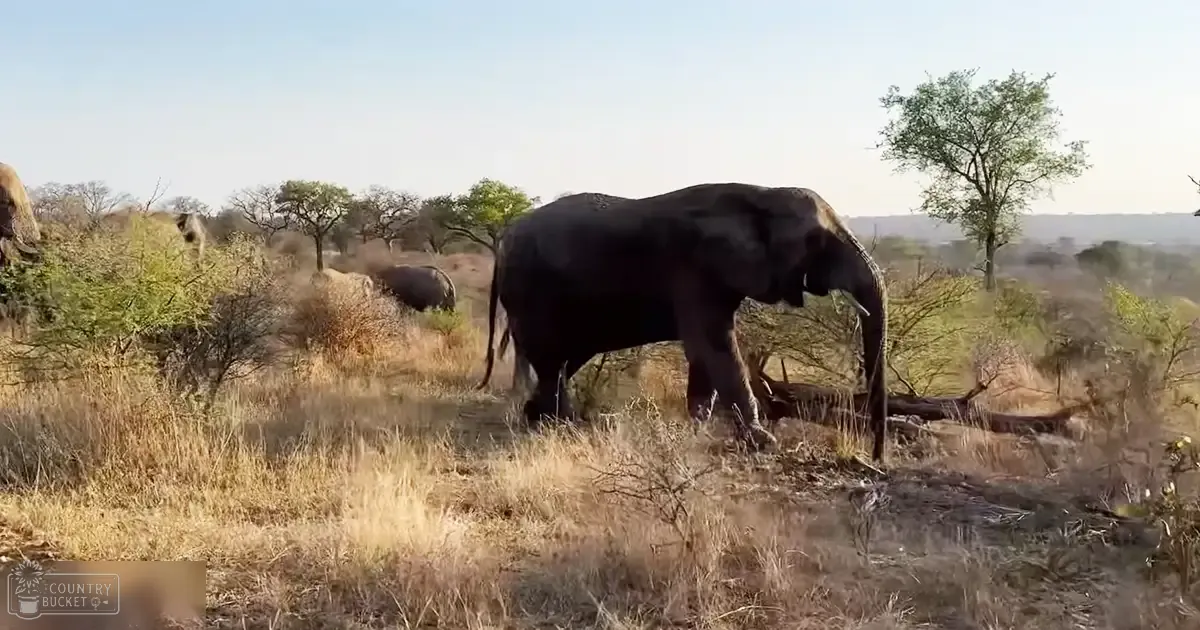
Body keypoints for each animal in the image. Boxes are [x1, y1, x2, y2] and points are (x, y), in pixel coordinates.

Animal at [477, 184, 890, 461]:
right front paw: (763, 443)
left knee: (563, 359)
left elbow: (706, 352)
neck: (759, 194)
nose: (875, 457)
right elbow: (715, 346)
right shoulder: (695, 271)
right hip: (533, 294)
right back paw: (561, 425)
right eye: (815, 240)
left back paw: (538, 417)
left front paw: (698, 429)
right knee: (551, 358)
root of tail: (503, 242)